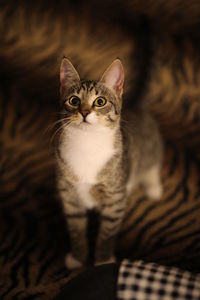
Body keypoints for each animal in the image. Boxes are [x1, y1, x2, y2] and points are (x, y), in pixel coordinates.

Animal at [55, 57, 162, 268]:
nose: (84, 112)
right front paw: (77, 258)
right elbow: (76, 229)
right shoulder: (69, 195)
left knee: (153, 163)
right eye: (74, 100)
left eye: (100, 102)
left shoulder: (115, 198)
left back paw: (154, 186)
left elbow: (106, 233)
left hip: (151, 147)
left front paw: (103, 261)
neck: (87, 144)